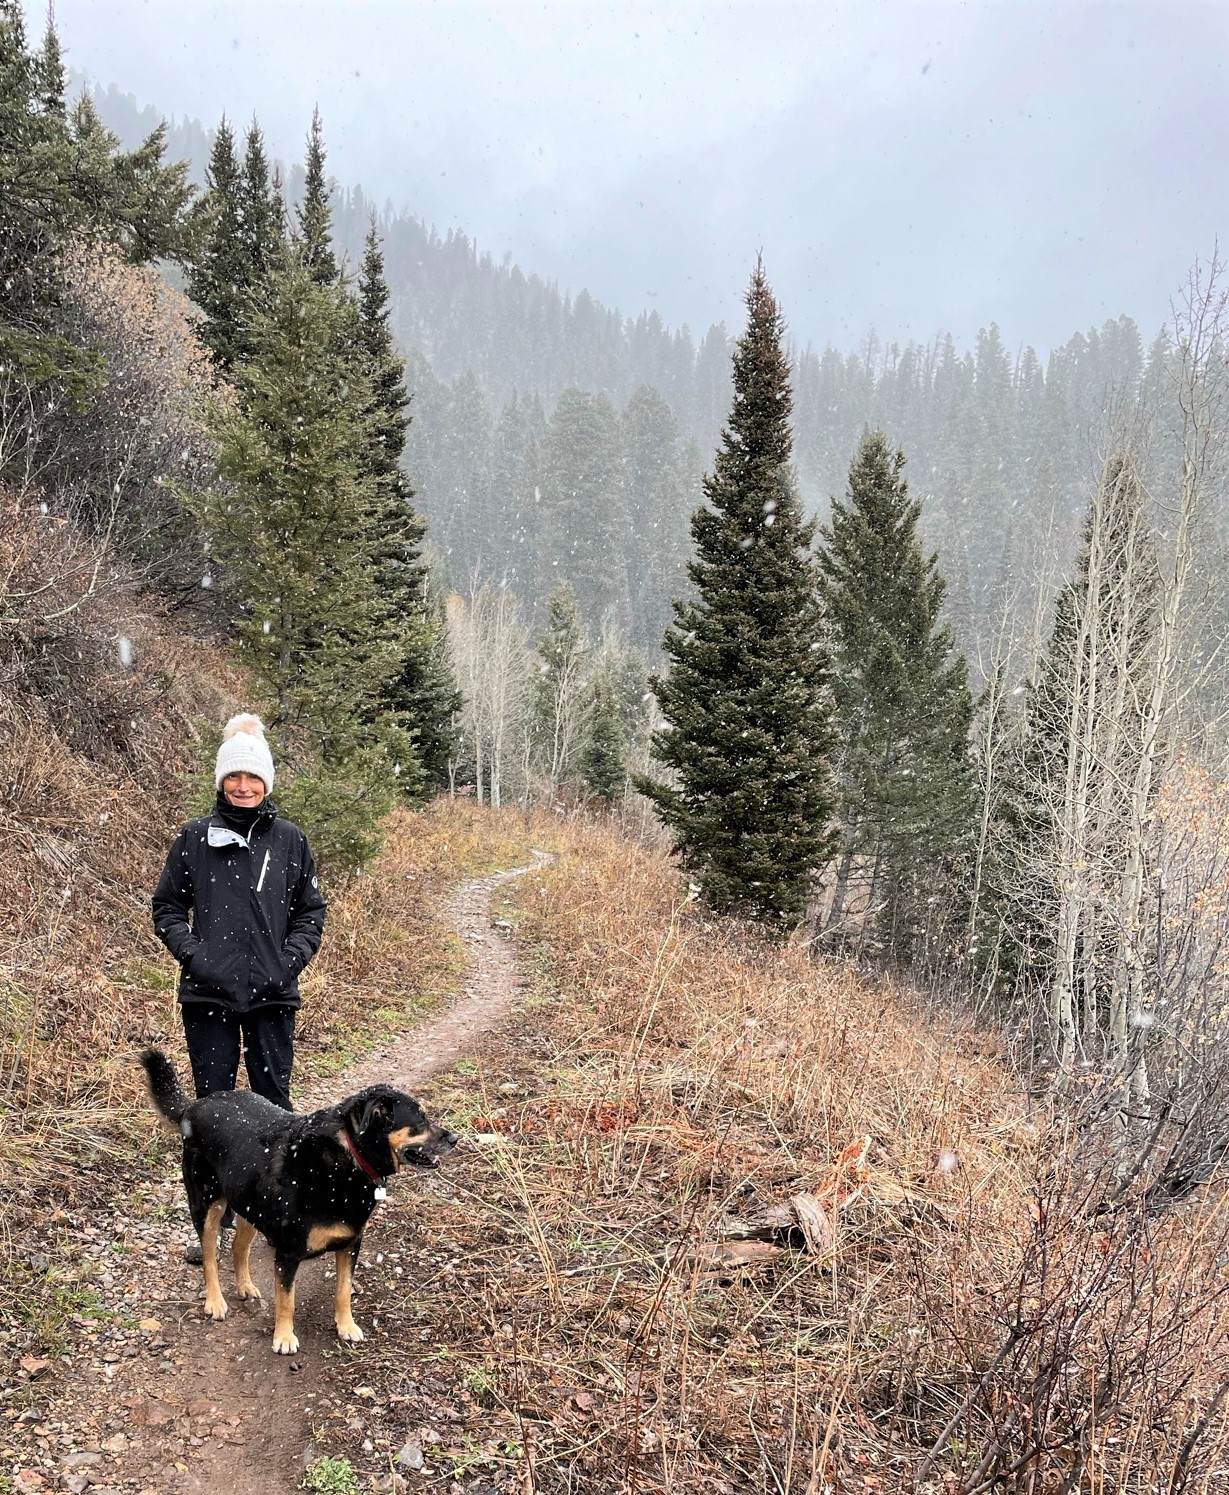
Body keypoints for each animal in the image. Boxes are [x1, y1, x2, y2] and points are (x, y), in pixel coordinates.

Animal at [139, 1052, 457, 1357]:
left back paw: (244, 1286)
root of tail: (195, 1105)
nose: (455, 1138)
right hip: (207, 1205)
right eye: (420, 1120)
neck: (348, 1157)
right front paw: (283, 1337)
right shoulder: (288, 1253)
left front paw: (346, 1326)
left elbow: (344, 1290)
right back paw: (215, 1301)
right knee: (209, 1257)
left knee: (238, 1247)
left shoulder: (351, 1244)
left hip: (250, 1205)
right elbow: (286, 1301)